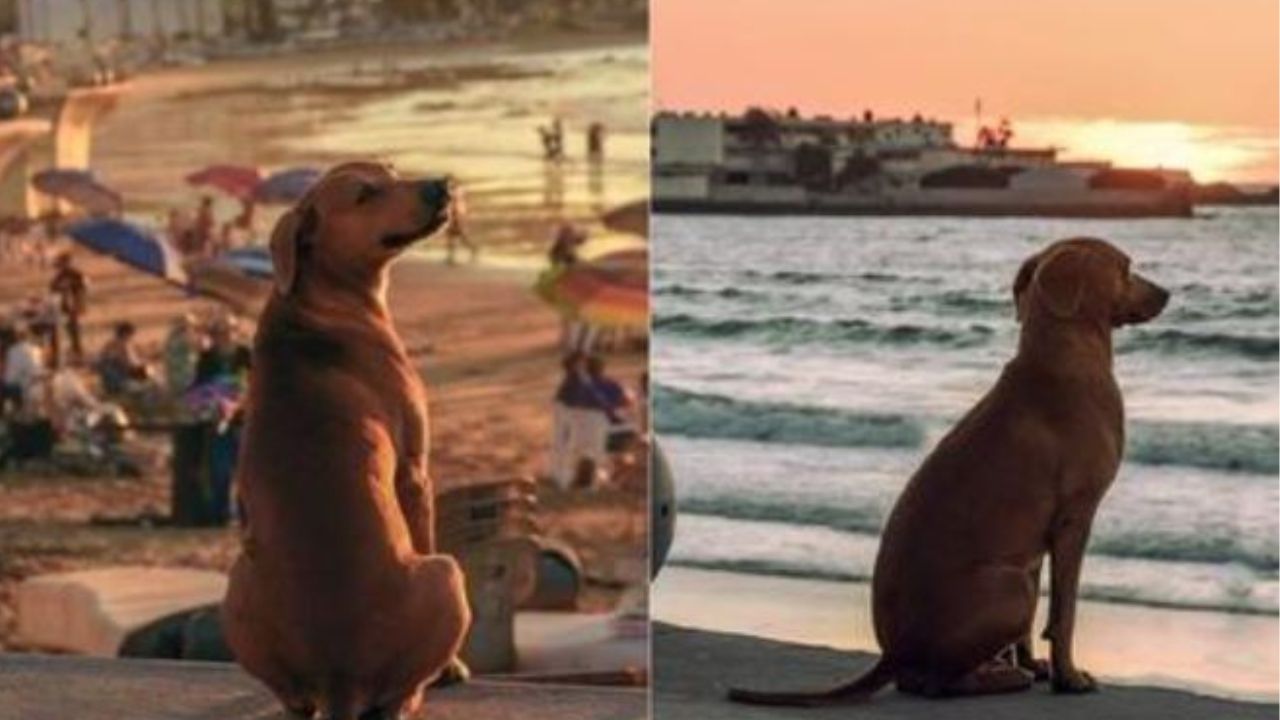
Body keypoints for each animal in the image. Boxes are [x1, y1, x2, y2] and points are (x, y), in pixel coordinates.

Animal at [224, 162, 471, 717]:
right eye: (365, 194)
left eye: (393, 172)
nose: (441, 185)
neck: (317, 301)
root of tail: (338, 675)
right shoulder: (414, 472)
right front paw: (453, 670)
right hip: (446, 574)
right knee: (397, 698)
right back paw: (422, 689)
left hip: (237, 583)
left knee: (294, 700)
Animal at [732, 238, 1172, 702]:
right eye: (1126, 267)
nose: (1167, 293)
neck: (1062, 355)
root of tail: (893, 653)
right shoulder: (1074, 520)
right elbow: (1063, 613)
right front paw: (1068, 677)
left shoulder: (1033, 543)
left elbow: (1035, 623)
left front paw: (1035, 664)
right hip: (1011, 587)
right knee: (935, 683)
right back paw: (996, 676)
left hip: (1015, 577)